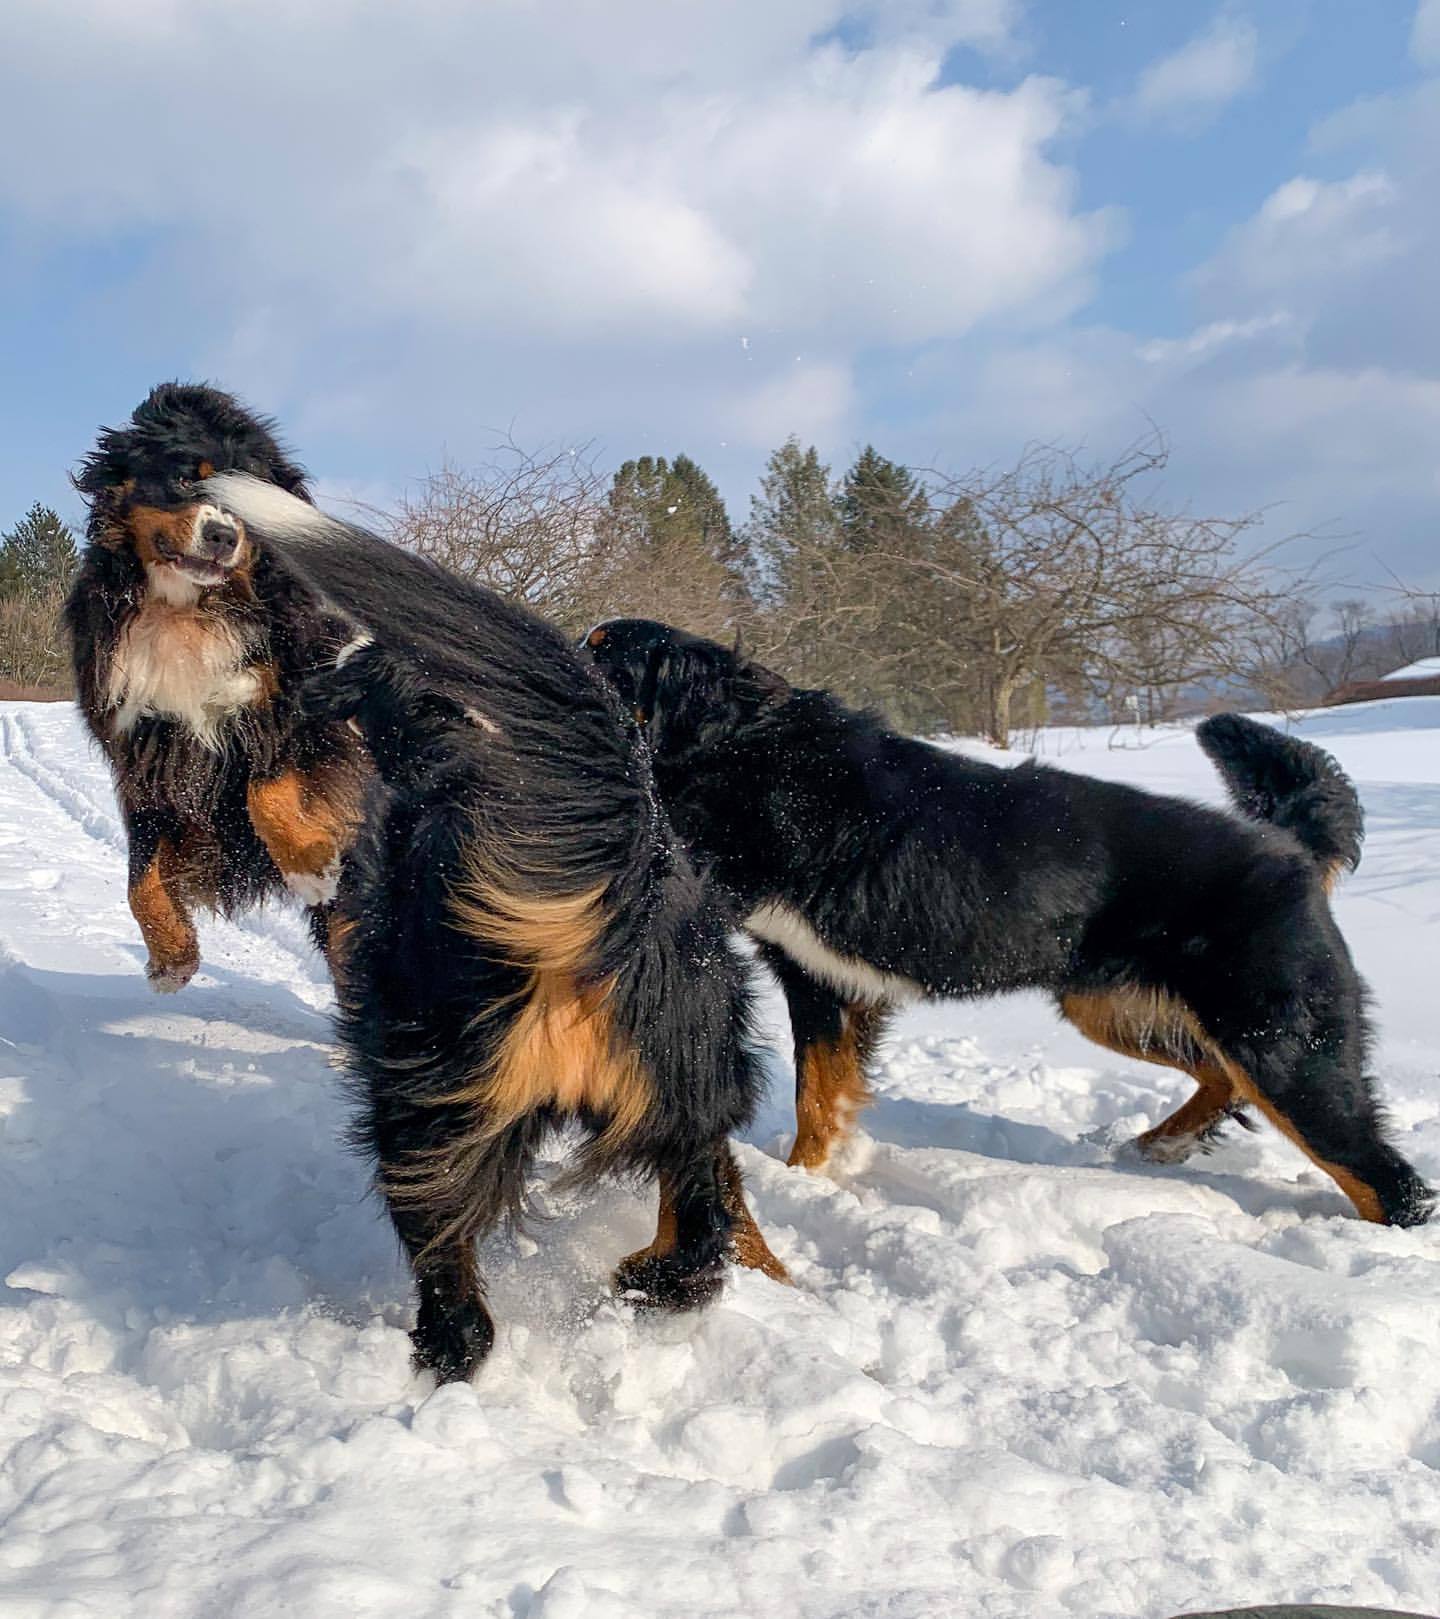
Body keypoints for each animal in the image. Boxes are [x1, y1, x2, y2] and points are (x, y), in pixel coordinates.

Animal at [70, 385, 367, 990]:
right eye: (186, 477)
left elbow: (267, 790)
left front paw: (313, 866)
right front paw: (171, 956)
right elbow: (140, 873)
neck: (185, 612)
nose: (223, 535)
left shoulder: (295, 710)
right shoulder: (147, 748)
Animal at [583, 618, 1425, 1223]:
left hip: (1284, 1047)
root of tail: (1288, 846)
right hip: (1113, 1005)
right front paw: (817, 1178)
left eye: (603, 655)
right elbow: (822, 1101)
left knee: (1391, 1184)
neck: (742, 750)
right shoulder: (822, 981)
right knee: (1220, 1078)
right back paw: (1162, 1144)